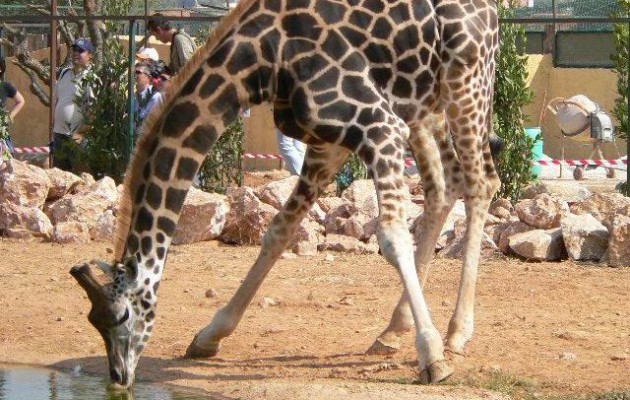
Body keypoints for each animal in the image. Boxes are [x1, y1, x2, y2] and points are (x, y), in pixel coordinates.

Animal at [70, 0, 504, 388]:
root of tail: (490, 9)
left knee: (482, 182)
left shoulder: (379, 125)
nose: (119, 376)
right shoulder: (329, 140)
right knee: (444, 185)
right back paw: (392, 331)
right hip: (423, 104)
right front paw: (209, 335)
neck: (261, 59)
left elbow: (393, 238)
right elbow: (278, 231)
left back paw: (456, 333)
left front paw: (432, 357)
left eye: (121, 316)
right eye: (91, 319)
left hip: (468, 82)